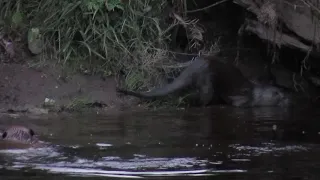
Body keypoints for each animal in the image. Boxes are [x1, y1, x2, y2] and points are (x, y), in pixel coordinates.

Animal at [116, 55, 292, 107]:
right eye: (277, 94)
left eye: (283, 91)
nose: (288, 99)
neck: (255, 94)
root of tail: (193, 68)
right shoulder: (242, 99)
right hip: (207, 82)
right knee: (202, 98)